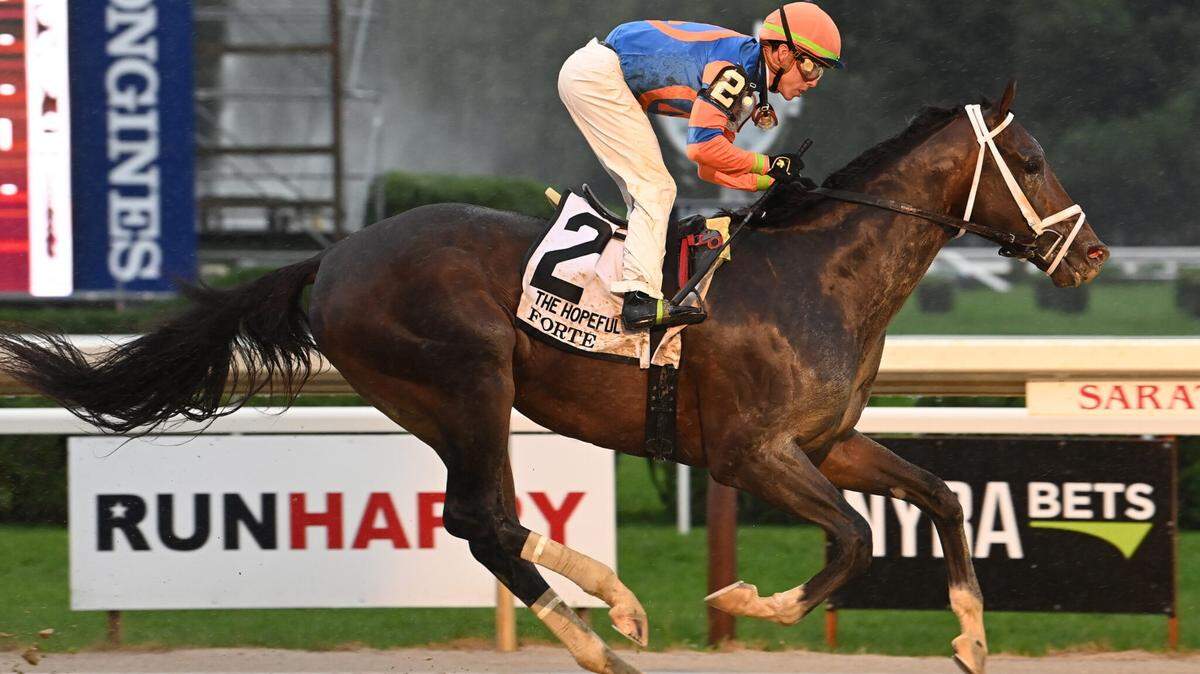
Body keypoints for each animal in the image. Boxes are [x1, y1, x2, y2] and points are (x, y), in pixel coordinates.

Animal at [0, 82, 1107, 674]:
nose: (1091, 254)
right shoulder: (752, 453)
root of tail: (337, 254)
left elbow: (940, 496)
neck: (817, 275)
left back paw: (603, 617)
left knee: (486, 518)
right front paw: (746, 601)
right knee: (481, 516)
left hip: (441, 398)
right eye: (1032, 160)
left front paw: (971, 636)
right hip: (466, 380)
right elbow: (855, 538)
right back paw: (606, 625)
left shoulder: (826, 441)